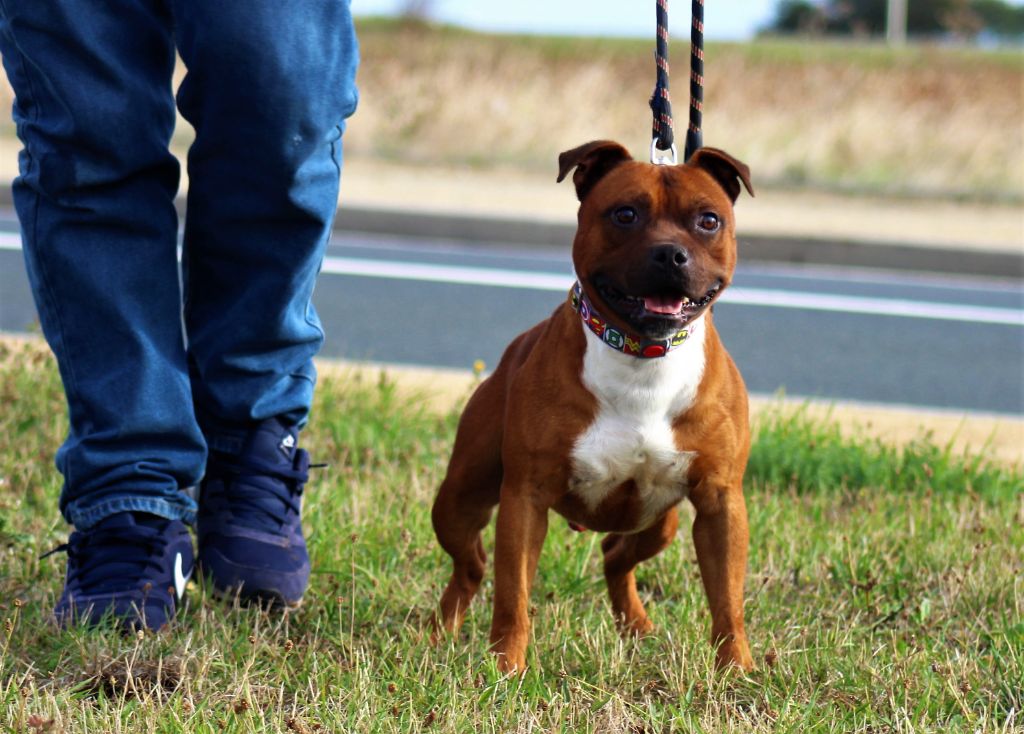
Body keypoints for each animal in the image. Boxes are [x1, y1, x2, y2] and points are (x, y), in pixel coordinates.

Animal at [428, 140, 757, 671]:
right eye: (625, 214)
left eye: (708, 220)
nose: (670, 254)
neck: (643, 355)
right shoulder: (525, 498)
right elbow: (512, 594)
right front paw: (507, 666)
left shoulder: (720, 502)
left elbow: (727, 597)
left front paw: (736, 669)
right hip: (460, 498)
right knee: (472, 564)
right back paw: (440, 632)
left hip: (659, 523)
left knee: (613, 555)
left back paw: (636, 625)